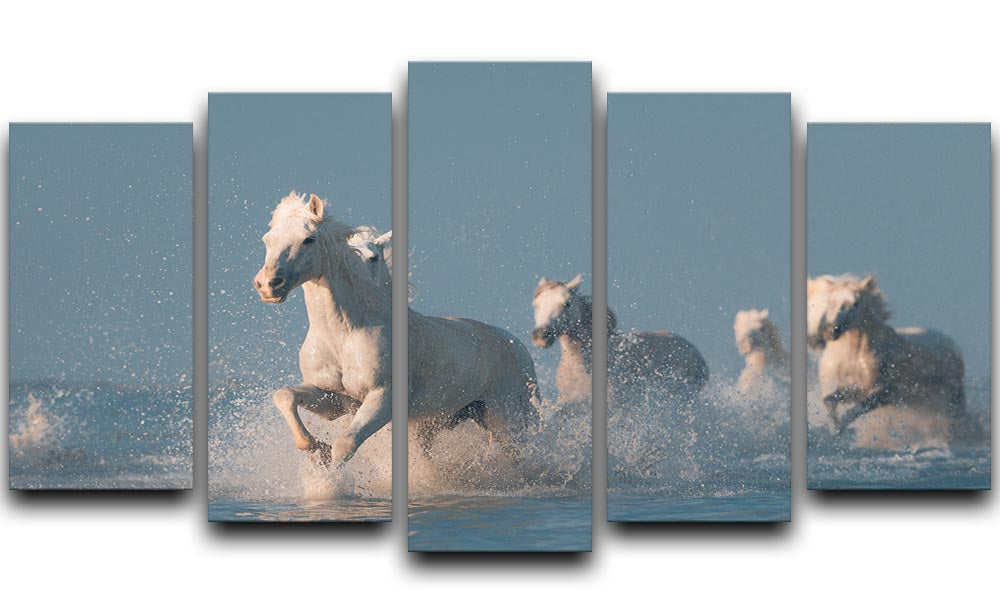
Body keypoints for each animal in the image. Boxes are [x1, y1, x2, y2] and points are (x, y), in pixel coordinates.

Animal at [807, 274, 966, 436]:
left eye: (856, 303)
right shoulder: (846, 389)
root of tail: (950, 342)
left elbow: (859, 407)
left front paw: (842, 429)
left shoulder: (882, 393)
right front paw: (835, 429)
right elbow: (830, 400)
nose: (832, 330)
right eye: (831, 302)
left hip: (952, 399)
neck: (852, 358)